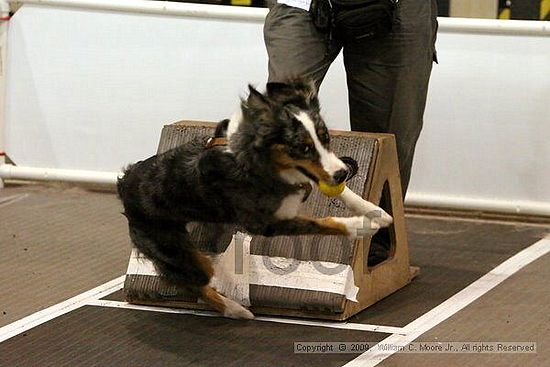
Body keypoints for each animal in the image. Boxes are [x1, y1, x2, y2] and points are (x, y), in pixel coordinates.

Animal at [117, 78, 392, 320]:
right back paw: (235, 309)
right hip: (177, 252)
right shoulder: (264, 222)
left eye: (325, 138)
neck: (258, 162)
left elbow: (332, 187)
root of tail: (124, 183)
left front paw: (374, 211)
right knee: (195, 283)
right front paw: (360, 225)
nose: (343, 172)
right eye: (303, 148)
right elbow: (320, 223)